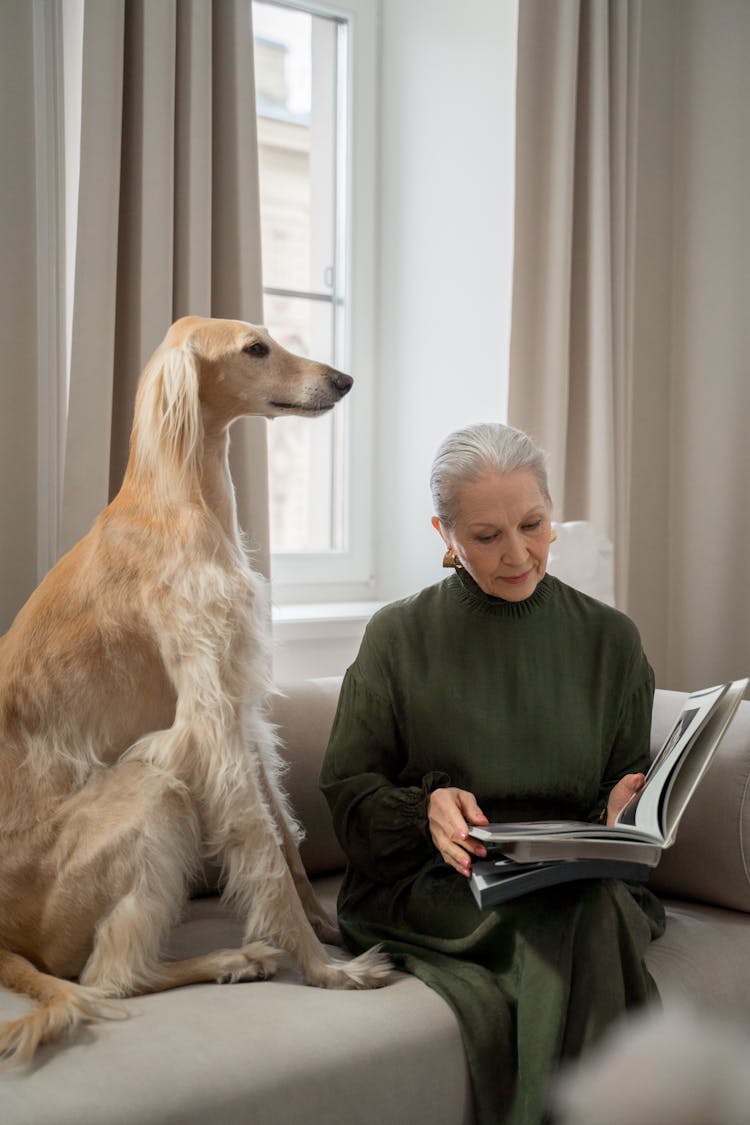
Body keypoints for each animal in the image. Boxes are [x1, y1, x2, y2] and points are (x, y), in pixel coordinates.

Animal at [1, 317, 393, 1062]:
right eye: (255, 348)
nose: (345, 380)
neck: (179, 499)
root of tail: (9, 939)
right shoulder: (209, 714)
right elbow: (263, 846)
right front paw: (326, 970)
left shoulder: (240, 705)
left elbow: (286, 836)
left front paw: (326, 926)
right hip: (153, 790)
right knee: (111, 977)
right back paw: (232, 958)